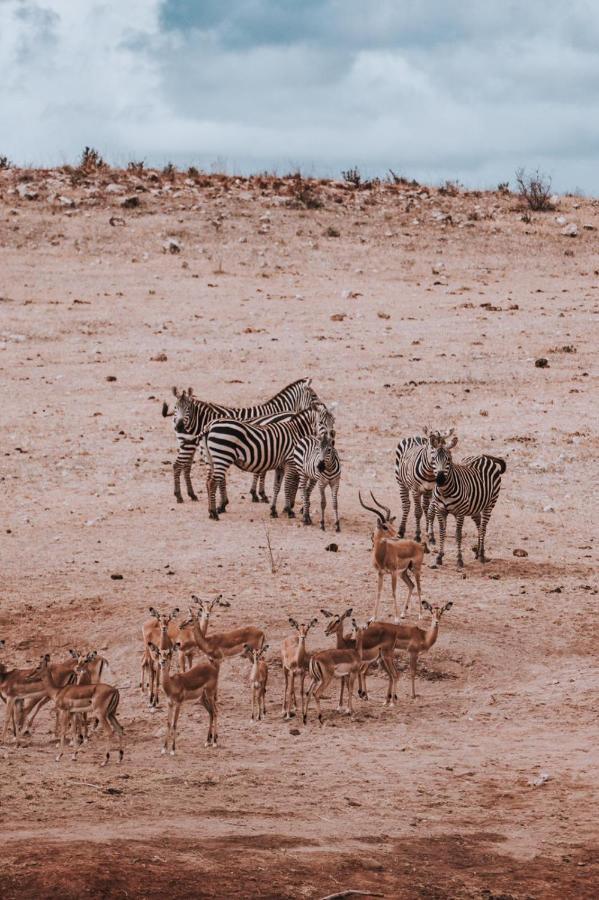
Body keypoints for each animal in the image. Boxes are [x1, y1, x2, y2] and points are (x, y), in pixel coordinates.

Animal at [159, 378, 318, 502]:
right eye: (314, 396)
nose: (180, 426)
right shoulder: (268, 443)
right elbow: (262, 470)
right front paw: (259, 494)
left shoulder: (267, 444)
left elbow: (261, 469)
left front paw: (256, 493)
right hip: (189, 444)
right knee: (178, 466)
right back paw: (179, 496)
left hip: (190, 443)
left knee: (185, 466)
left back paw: (191, 494)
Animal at [204, 402, 338, 520]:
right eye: (321, 423)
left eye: (333, 422)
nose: (331, 442)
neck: (297, 431)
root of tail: (211, 425)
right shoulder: (290, 462)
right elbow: (287, 486)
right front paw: (289, 510)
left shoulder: (280, 466)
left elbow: (277, 487)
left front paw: (273, 510)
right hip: (222, 456)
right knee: (212, 483)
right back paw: (214, 513)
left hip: (213, 459)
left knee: (208, 481)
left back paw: (211, 512)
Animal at [358, 488, 428, 624]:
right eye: (385, 526)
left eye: (391, 525)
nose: (398, 535)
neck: (382, 555)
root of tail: (419, 545)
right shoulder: (380, 573)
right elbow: (378, 592)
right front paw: (373, 617)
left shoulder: (393, 572)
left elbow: (394, 592)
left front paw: (396, 619)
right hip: (404, 572)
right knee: (411, 585)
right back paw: (403, 613)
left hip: (415, 569)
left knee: (419, 588)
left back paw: (420, 615)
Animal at [428, 438, 508, 568]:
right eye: (433, 458)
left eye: (449, 459)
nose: (440, 480)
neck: (445, 491)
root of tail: (484, 457)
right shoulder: (440, 510)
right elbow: (442, 532)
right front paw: (439, 556)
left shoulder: (460, 512)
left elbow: (458, 535)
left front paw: (459, 559)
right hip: (474, 507)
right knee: (479, 525)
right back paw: (479, 552)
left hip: (490, 504)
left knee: (483, 528)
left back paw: (481, 555)